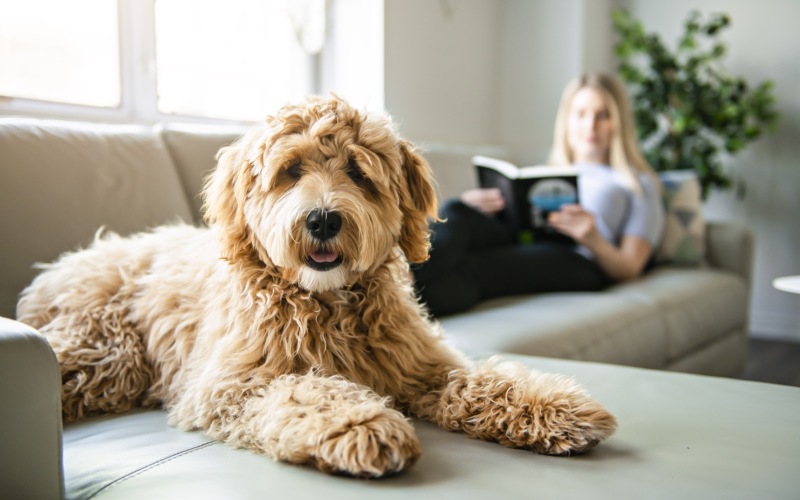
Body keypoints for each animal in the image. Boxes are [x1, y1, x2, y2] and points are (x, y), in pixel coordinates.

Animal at [17, 96, 620, 476]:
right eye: (290, 171)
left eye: (358, 172)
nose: (324, 219)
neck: (327, 302)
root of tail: (66, 262)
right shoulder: (232, 384)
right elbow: (306, 390)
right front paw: (362, 424)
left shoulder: (422, 365)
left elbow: (481, 381)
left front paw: (554, 406)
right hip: (106, 352)